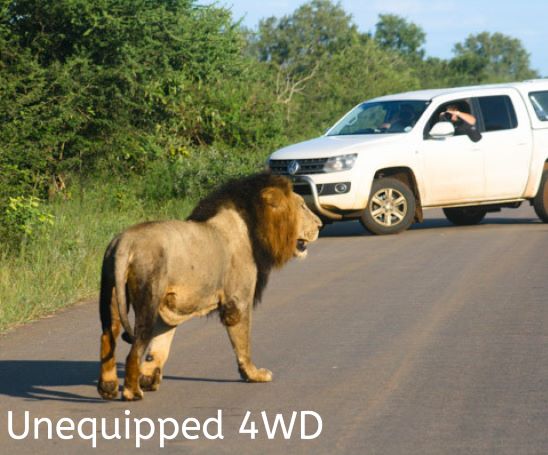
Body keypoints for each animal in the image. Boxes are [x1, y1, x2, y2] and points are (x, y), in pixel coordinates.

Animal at [97, 173, 322, 400]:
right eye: (302, 205)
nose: (320, 225)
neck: (252, 224)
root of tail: (124, 243)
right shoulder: (237, 301)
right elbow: (243, 343)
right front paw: (253, 374)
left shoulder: (169, 308)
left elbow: (160, 345)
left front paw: (149, 376)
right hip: (147, 300)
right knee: (134, 349)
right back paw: (132, 392)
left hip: (111, 292)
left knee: (108, 337)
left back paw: (108, 387)